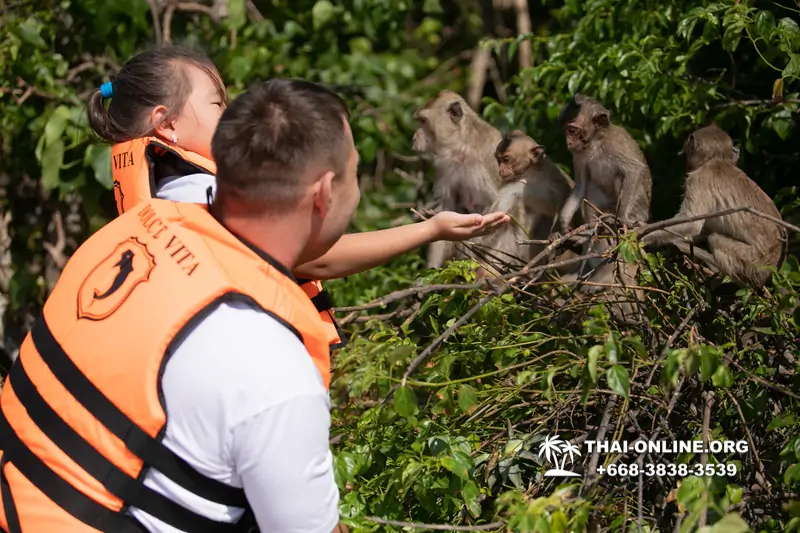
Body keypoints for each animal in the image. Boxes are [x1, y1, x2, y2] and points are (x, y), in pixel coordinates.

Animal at [412, 90, 500, 270]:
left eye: (423, 121)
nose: (414, 136)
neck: (462, 145)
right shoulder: (445, 165)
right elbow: (447, 208)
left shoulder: (481, 162)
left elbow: (496, 202)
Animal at [640, 123, 784, 288]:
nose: (687, 165)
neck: (716, 160)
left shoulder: (697, 179)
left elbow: (692, 223)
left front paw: (640, 234)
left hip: (752, 262)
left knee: (714, 239)